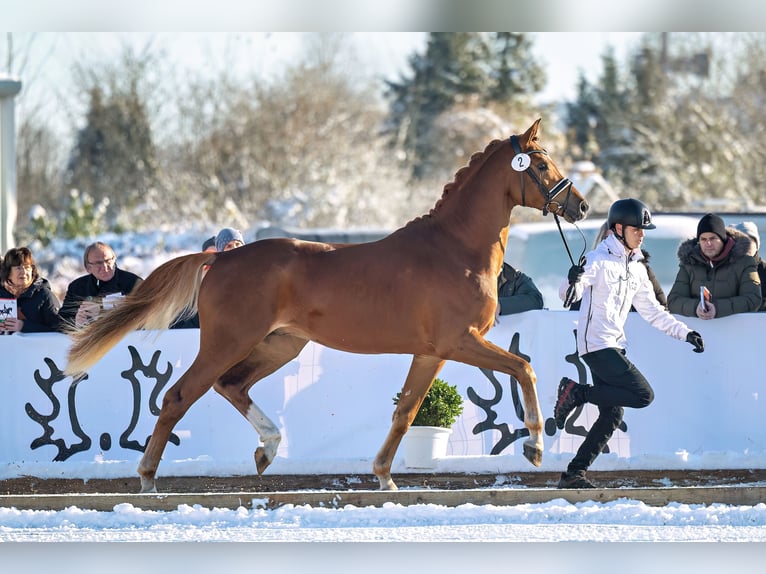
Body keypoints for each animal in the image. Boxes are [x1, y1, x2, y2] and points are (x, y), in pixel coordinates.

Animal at [64, 118, 590, 493]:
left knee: (231, 385)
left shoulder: (431, 352)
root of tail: (221, 259)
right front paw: (535, 447)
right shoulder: (459, 341)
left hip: (282, 345)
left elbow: (406, 411)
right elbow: (524, 368)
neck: (455, 249)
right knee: (179, 395)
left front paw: (384, 477)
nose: (580, 207)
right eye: (542, 164)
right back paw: (149, 480)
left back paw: (267, 450)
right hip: (228, 341)